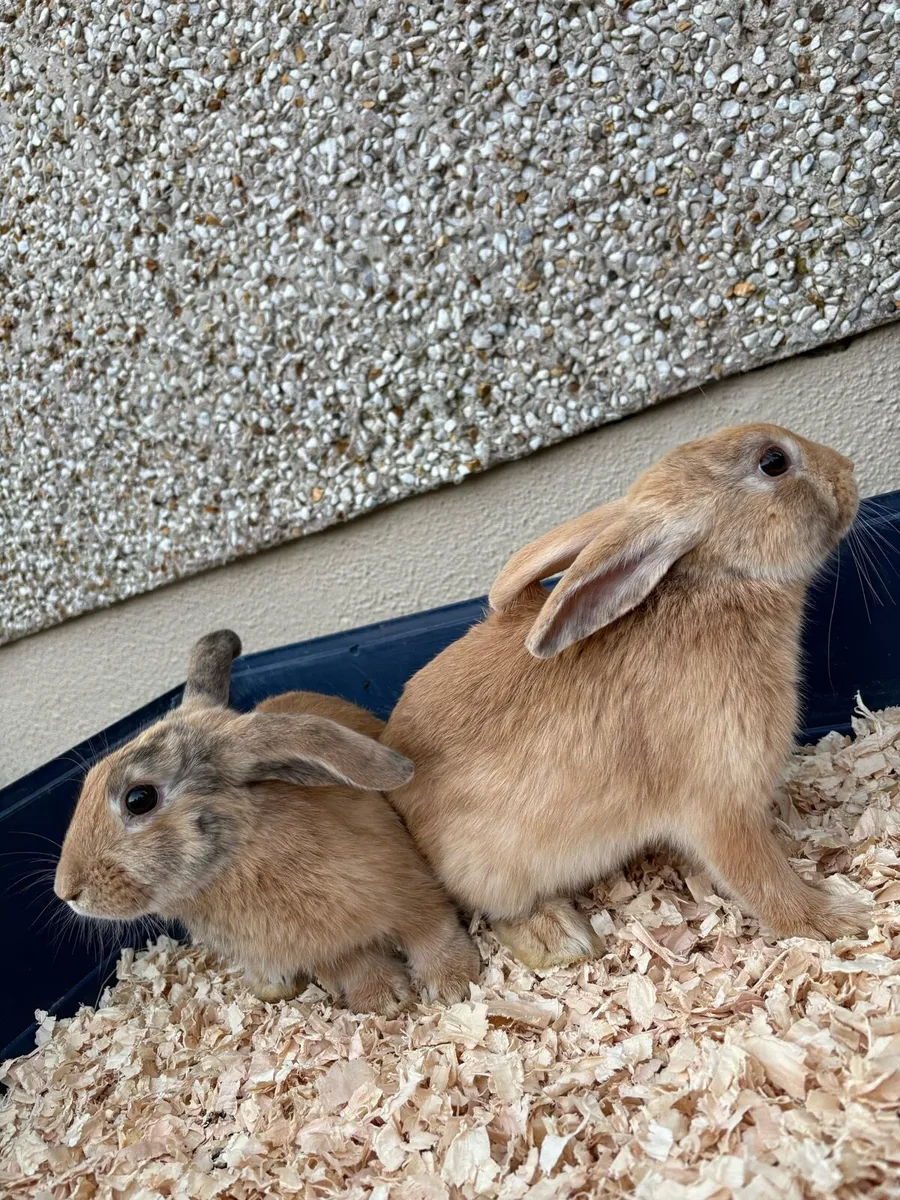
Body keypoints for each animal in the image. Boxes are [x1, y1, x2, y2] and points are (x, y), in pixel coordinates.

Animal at [54, 630, 479, 1015]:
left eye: (139, 799)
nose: (66, 891)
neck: (240, 859)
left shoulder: (416, 894)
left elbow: (433, 934)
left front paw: (454, 983)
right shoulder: (331, 951)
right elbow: (358, 967)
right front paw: (383, 1002)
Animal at [380, 424, 871, 970]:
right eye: (773, 462)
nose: (849, 469)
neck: (720, 582)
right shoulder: (719, 804)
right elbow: (763, 879)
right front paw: (839, 918)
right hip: (496, 868)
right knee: (499, 911)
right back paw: (564, 939)